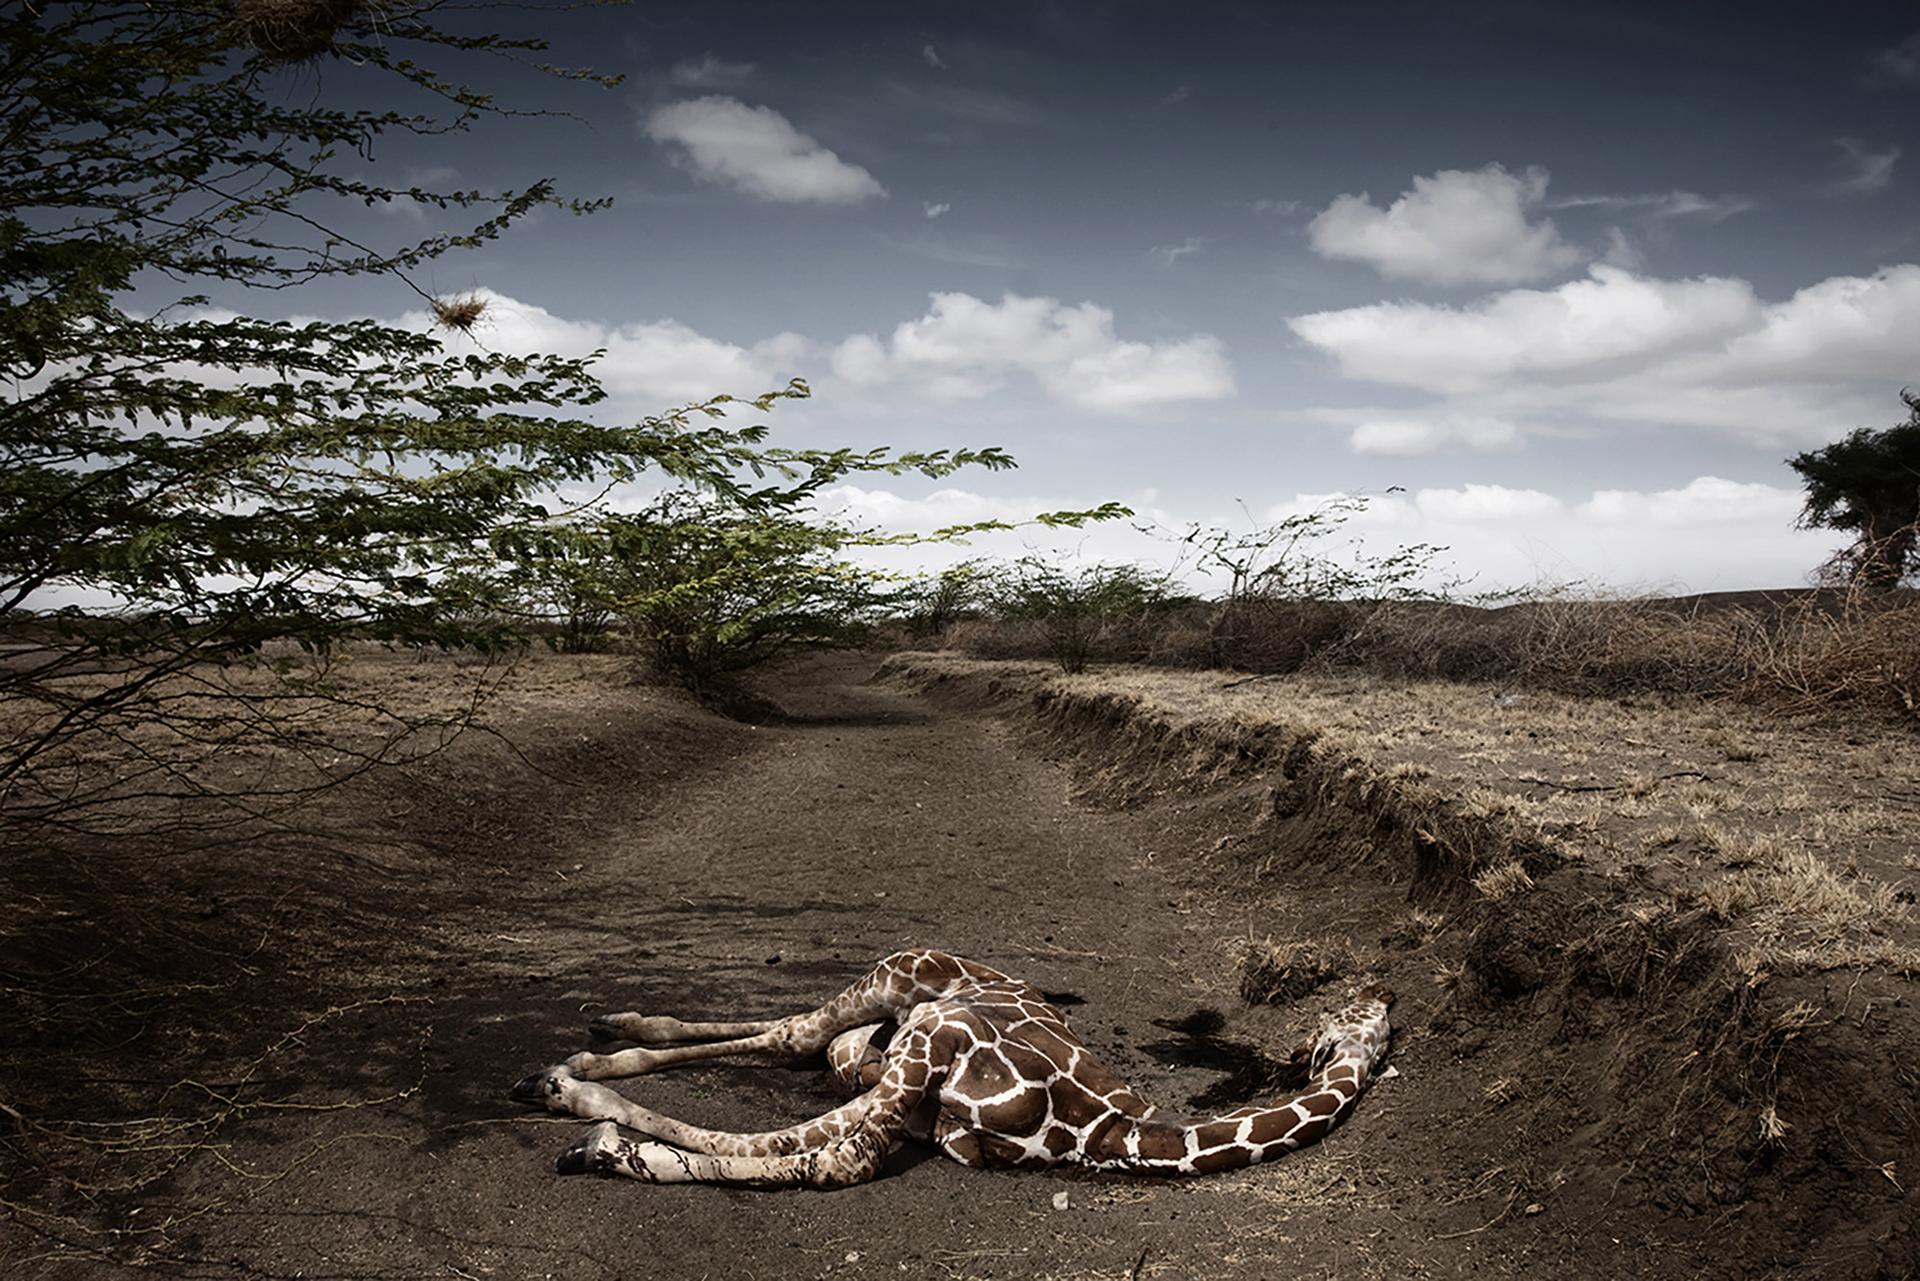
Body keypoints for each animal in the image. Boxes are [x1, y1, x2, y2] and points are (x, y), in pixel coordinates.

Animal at [510, 948, 1397, 1190]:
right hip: (906, 970)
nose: (1384, 989)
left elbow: (819, 1154)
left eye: (1373, 1023)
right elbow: (834, 1158)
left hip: (882, 1032)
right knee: (800, 1029)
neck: (1114, 1130)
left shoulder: (922, 1102)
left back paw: (595, 1050)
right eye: (1346, 1013)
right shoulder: (930, 1053)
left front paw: (594, 1127)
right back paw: (599, 1041)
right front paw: (585, 1112)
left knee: (801, 1040)